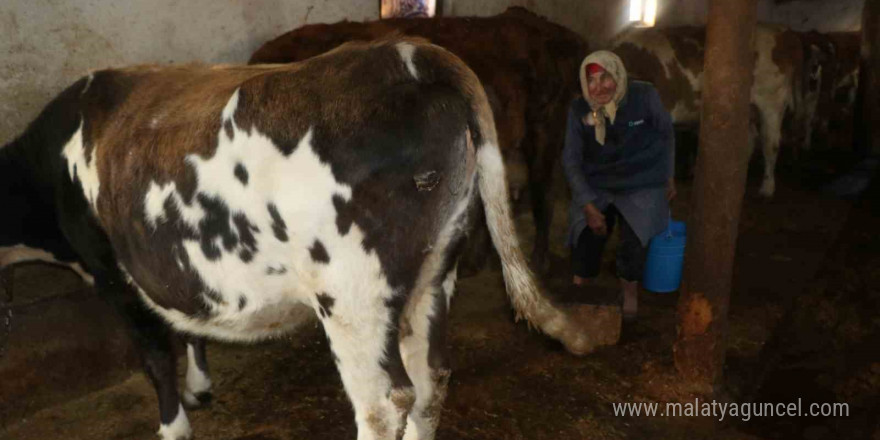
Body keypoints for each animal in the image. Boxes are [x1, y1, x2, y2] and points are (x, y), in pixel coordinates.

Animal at [1, 37, 592, 440]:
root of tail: (410, 52)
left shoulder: (112, 272)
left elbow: (154, 357)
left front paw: (174, 424)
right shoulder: (174, 264)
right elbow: (189, 323)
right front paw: (200, 387)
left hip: (352, 294)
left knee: (384, 403)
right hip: (433, 272)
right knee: (430, 382)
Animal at [612, 23, 824, 196]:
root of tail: (783, 32)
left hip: (772, 103)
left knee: (770, 143)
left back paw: (767, 187)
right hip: (747, 109)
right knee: (749, 139)